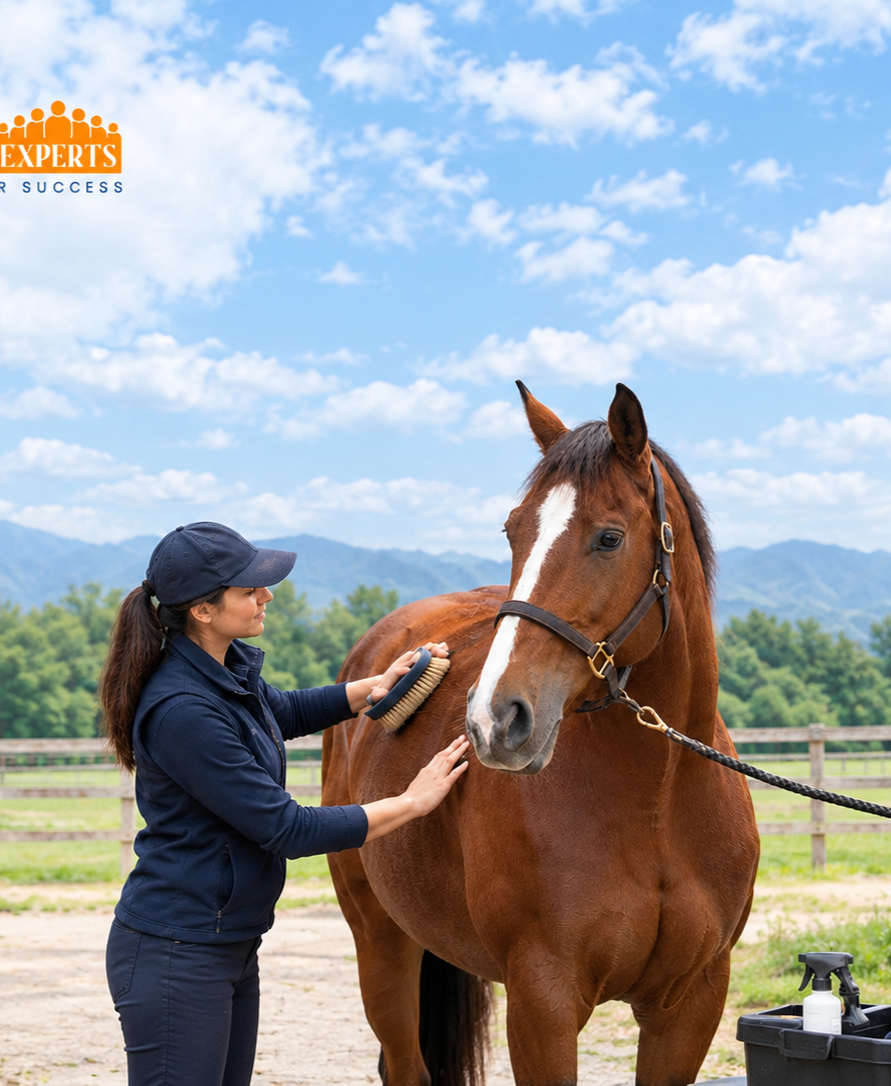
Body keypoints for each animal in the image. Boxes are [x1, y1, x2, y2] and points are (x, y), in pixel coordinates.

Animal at [322, 382, 759, 1086]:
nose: (493, 720)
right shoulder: (542, 1002)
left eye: (609, 538)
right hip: (381, 942)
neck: (657, 803)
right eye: (513, 530)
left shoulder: (689, 1004)